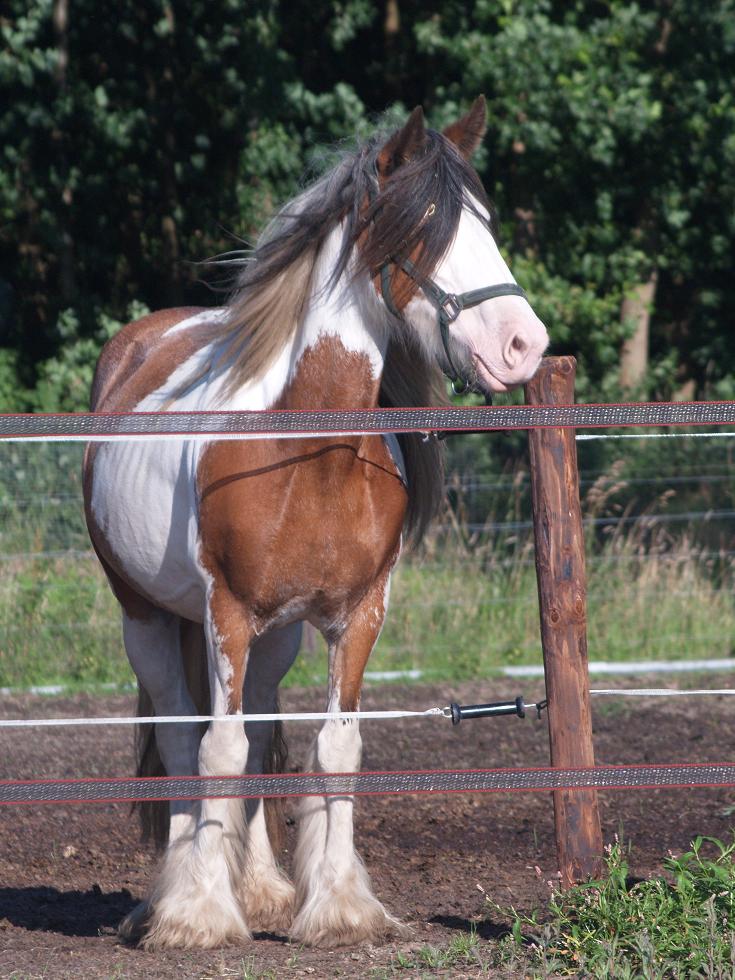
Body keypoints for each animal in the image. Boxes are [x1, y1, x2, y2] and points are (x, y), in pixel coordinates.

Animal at [83, 99, 548, 948]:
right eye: (420, 229)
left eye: (486, 222)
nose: (522, 343)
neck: (308, 452)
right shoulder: (226, 615)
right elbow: (218, 748)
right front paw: (199, 914)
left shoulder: (356, 617)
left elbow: (332, 745)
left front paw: (336, 907)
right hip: (147, 619)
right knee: (181, 737)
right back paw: (170, 899)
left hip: (277, 638)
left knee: (264, 730)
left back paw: (262, 889)